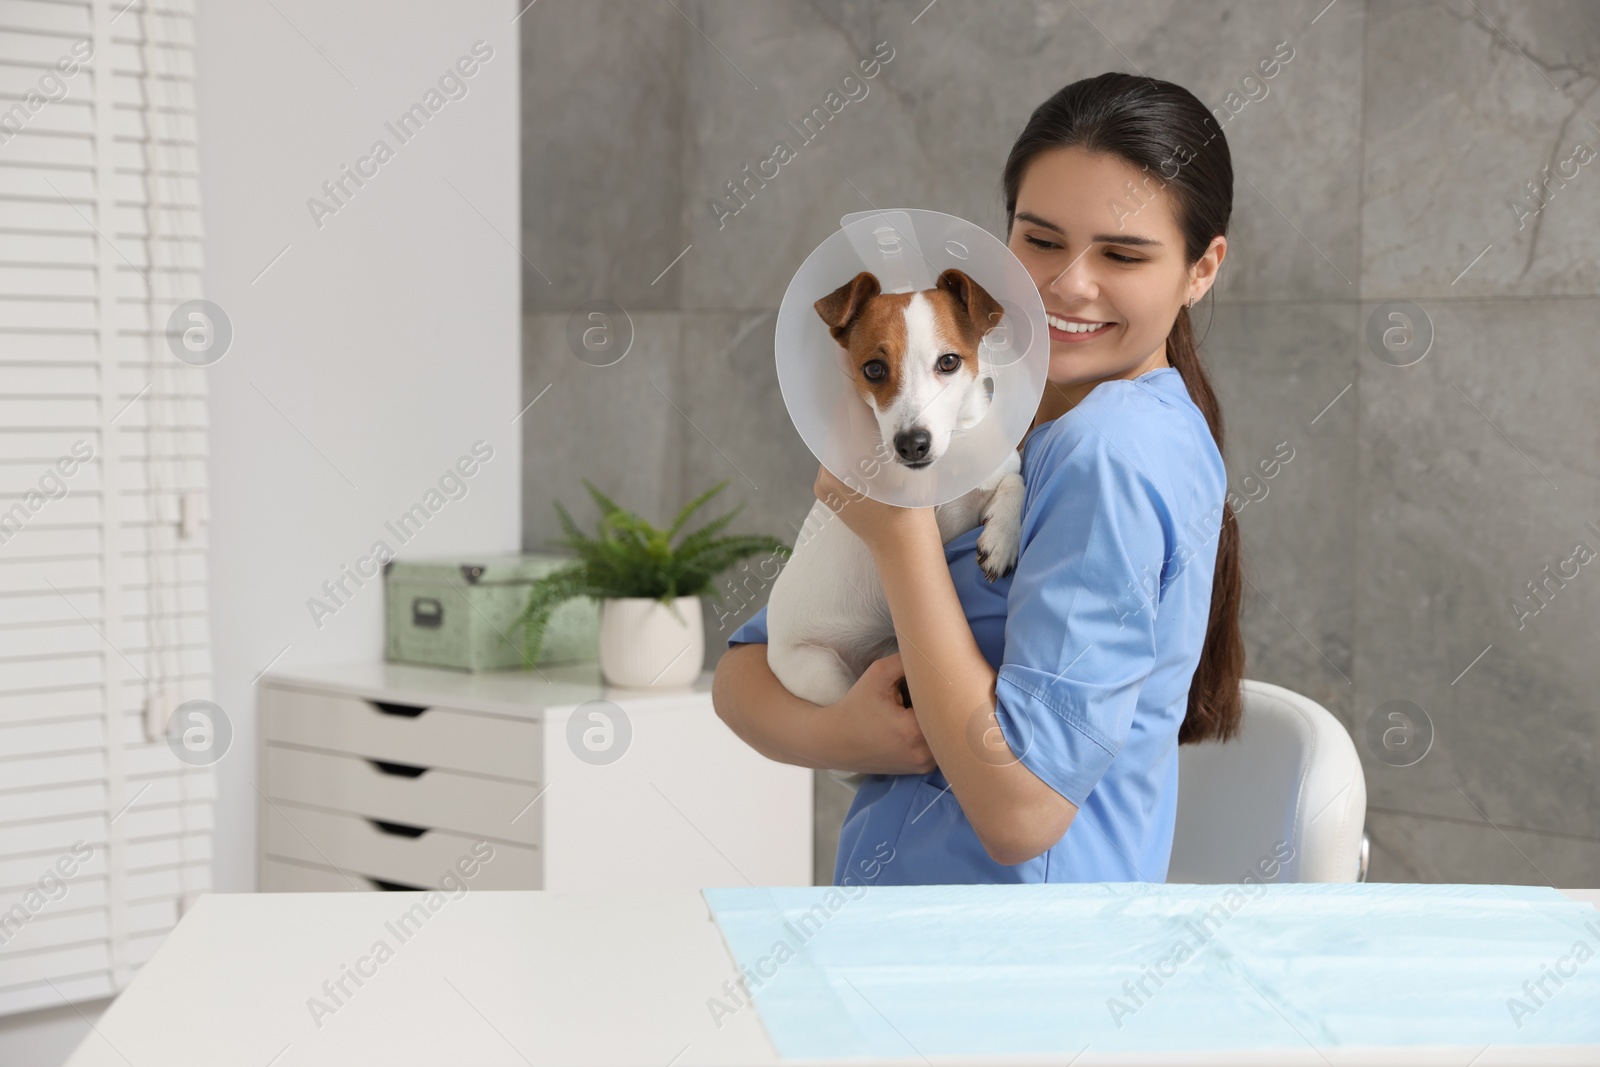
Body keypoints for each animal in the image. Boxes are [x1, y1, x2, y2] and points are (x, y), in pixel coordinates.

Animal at [771, 267, 1024, 783]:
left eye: (949, 362)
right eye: (873, 369)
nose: (912, 444)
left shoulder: (993, 477)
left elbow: (1014, 480)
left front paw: (1001, 538)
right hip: (818, 671)